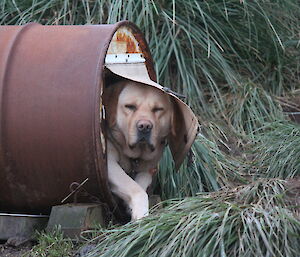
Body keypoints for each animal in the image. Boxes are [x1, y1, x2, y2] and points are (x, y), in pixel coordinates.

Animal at [103, 78, 173, 220]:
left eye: (158, 109)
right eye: (130, 106)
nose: (145, 126)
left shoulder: (149, 167)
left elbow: (141, 182)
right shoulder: (108, 162)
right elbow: (134, 187)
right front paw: (141, 214)